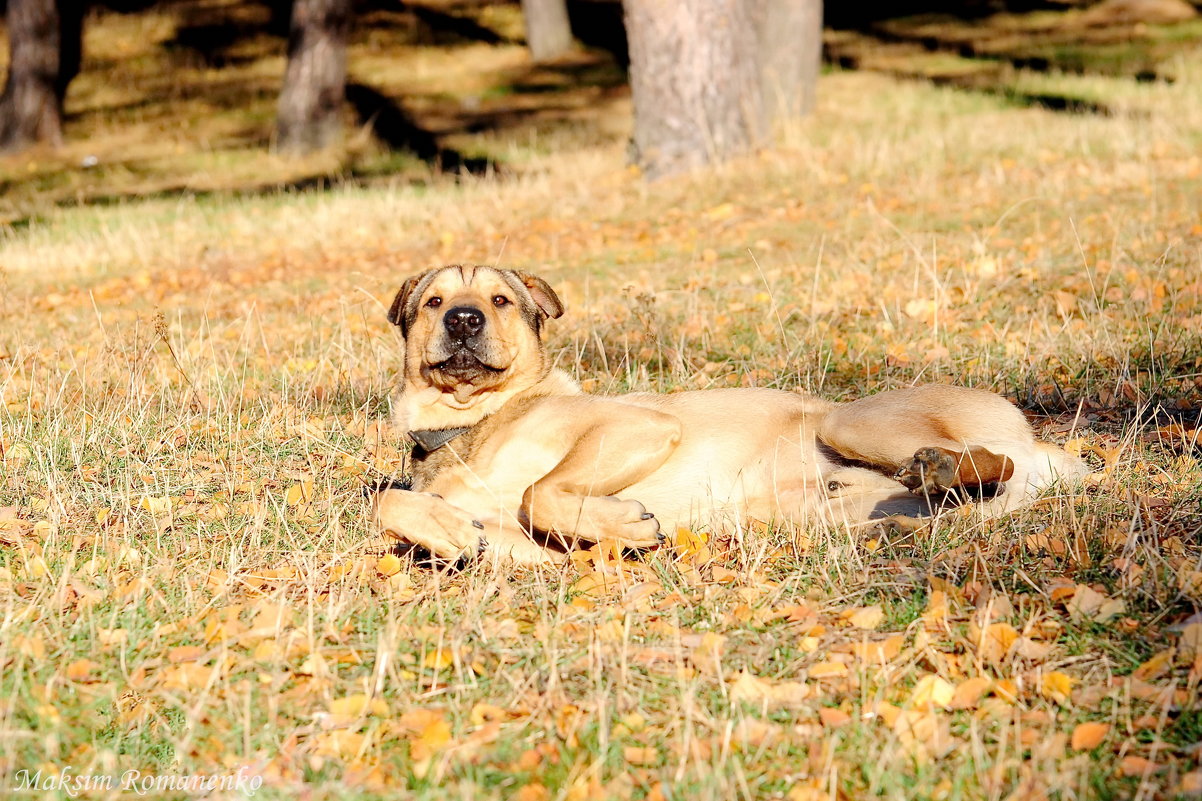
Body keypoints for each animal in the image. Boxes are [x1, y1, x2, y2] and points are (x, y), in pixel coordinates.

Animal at [370, 264, 1086, 565]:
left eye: (499, 300)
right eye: (434, 302)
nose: (464, 319)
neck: (469, 424)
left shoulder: (637, 425)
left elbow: (541, 489)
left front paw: (629, 526)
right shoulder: (534, 556)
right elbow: (393, 504)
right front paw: (452, 533)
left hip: (847, 423)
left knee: (995, 459)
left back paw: (941, 465)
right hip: (840, 519)